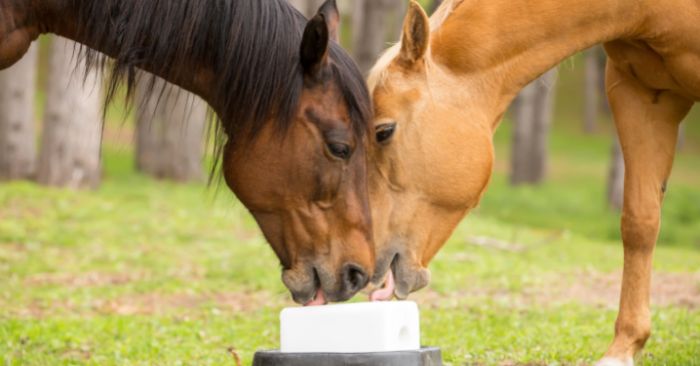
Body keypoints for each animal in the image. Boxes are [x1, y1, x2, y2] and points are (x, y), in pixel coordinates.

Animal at [366, 0, 700, 364]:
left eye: (383, 131)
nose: (369, 266)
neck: (647, 13)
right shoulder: (640, 94)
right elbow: (640, 223)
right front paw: (623, 348)